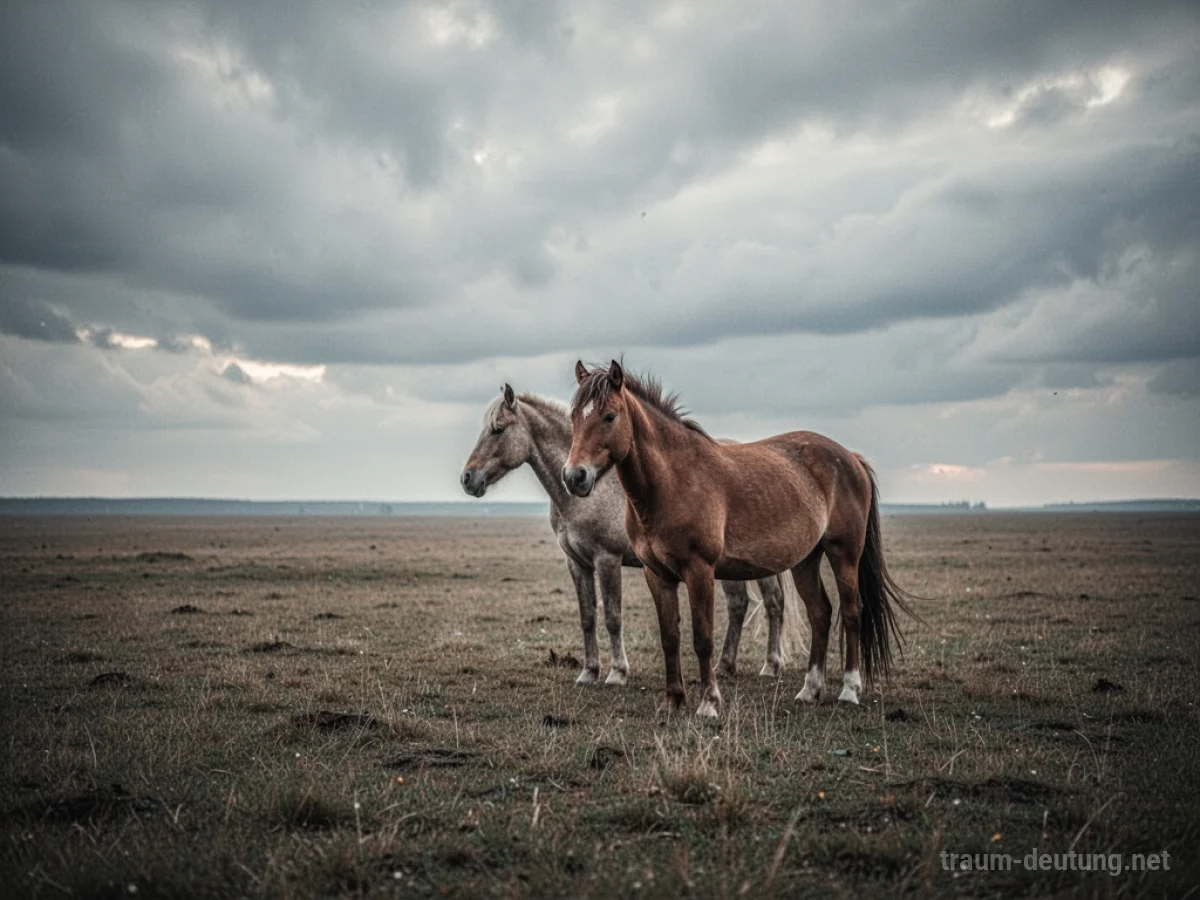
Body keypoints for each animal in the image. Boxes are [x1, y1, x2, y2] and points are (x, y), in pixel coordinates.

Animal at [461, 384, 790, 686]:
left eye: (498, 430)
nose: (467, 478)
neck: (590, 491)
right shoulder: (576, 563)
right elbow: (588, 618)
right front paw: (588, 672)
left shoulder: (607, 559)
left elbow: (612, 617)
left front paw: (617, 673)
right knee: (739, 605)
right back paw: (725, 666)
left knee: (772, 603)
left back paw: (770, 665)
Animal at [563, 360, 916, 718]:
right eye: (574, 416)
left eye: (609, 416)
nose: (574, 476)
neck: (675, 480)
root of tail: (850, 458)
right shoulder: (657, 574)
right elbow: (670, 637)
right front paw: (672, 700)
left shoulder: (699, 570)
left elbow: (702, 638)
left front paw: (709, 703)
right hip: (806, 560)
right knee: (820, 614)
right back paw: (809, 690)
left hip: (844, 554)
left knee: (851, 612)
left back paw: (849, 690)